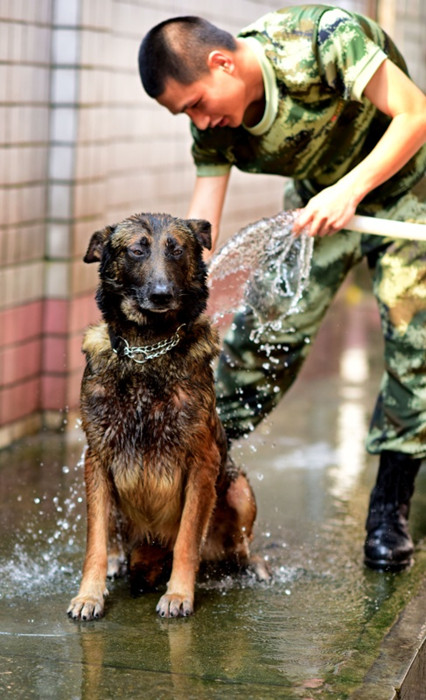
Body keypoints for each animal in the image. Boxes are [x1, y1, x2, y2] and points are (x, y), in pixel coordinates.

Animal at [67, 212, 266, 616]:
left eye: (176, 250)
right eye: (136, 250)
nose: (161, 295)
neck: (147, 352)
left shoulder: (202, 463)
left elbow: (188, 540)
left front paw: (178, 594)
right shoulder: (97, 459)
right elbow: (95, 542)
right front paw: (89, 595)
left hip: (238, 488)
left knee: (238, 548)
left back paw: (250, 567)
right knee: (114, 536)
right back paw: (118, 560)